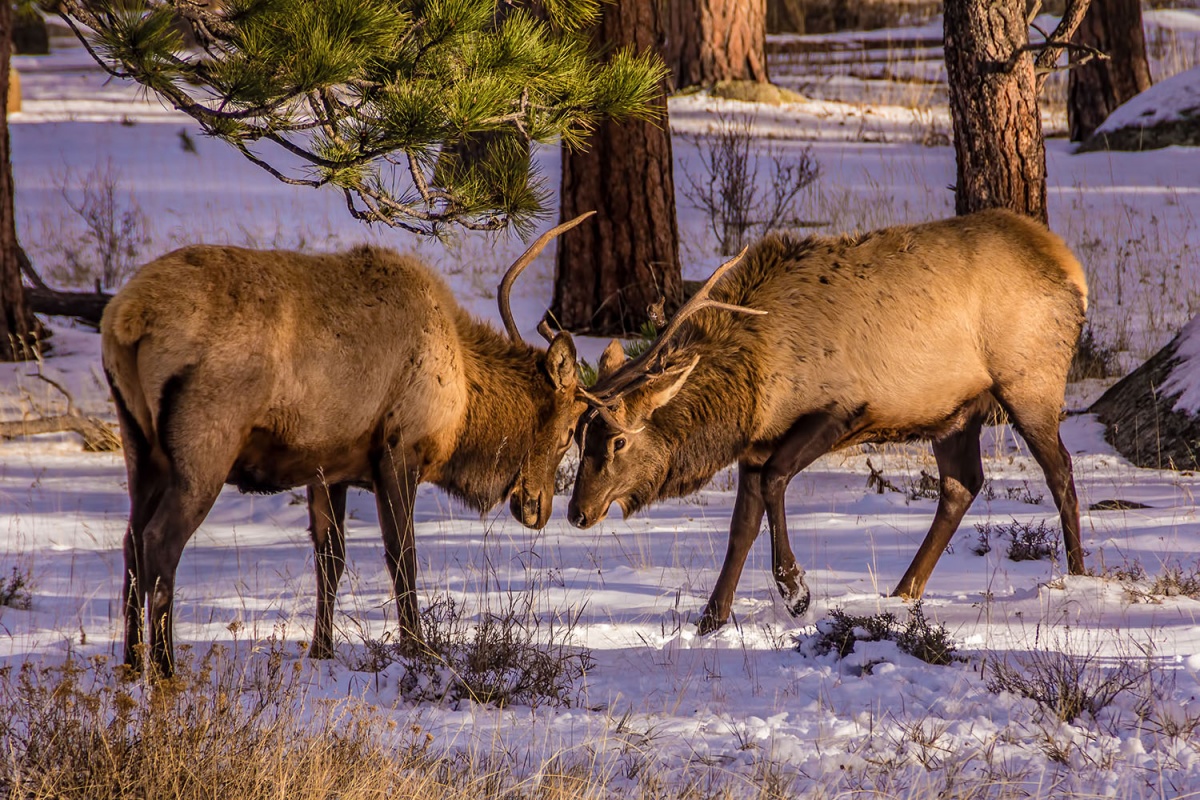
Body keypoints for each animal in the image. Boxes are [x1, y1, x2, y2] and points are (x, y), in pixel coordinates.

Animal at [102, 214, 590, 676]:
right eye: (569, 431)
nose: (539, 508)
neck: (462, 402)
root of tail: (127, 319)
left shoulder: (326, 469)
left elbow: (330, 561)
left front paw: (322, 650)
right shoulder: (398, 452)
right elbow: (402, 556)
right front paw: (418, 649)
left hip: (140, 445)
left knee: (130, 542)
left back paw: (130, 664)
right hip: (205, 446)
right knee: (160, 541)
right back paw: (165, 669)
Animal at [568, 209, 1089, 633]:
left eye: (618, 441)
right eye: (579, 437)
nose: (577, 513)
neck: (751, 386)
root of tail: (1073, 269)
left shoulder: (840, 409)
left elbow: (776, 481)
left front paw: (797, 592)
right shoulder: (756, 444)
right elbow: (741, 528)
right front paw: (710, 620)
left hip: (1030, 382)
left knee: (1059, 469)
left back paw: (1078, 574)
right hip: (954, 412)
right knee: (962, 484)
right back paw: (903, 592)